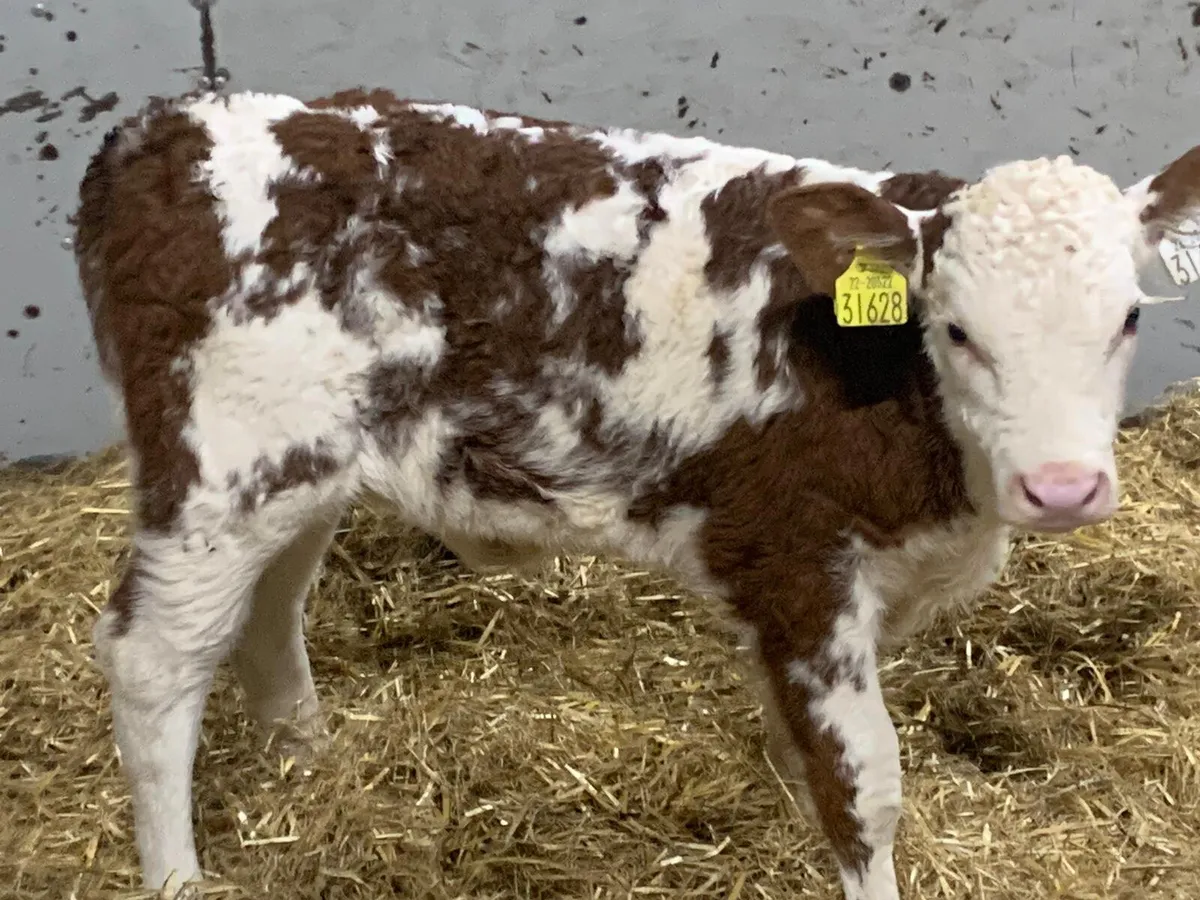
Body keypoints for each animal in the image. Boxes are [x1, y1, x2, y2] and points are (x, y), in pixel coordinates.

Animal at [72, 86, 1200, 900]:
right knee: (155, 660)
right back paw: (176, 877)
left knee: (270, 608)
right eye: (957, 330)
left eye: (1130, 318)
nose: (1063, 487)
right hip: (217, 468)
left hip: (302, 467)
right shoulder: (794, 557)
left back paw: (309, 760)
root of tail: (169, 127)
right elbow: (863, 785)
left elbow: (802, 749)